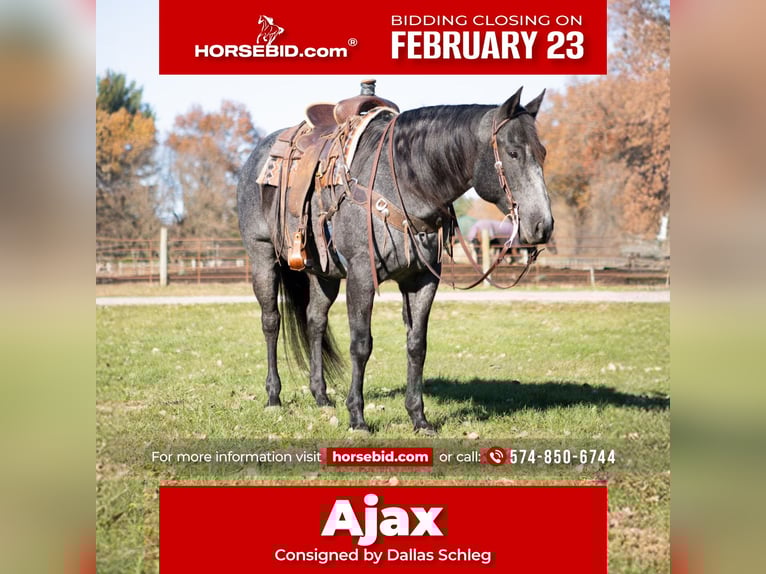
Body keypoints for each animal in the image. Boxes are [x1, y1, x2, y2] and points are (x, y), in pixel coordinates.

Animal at [237, 87, 554, 433]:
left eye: (543, 153)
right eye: (513, 153)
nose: (543, 225)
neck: (403, 181)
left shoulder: (422, 280)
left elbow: (417, 344)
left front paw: (418, 417)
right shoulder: (362, 276)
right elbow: (361, 344)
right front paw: (357, 417)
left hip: (324, 273)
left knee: (315, 321)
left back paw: (321, 395)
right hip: (263, 256)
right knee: (271, 321)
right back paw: (273, 397)